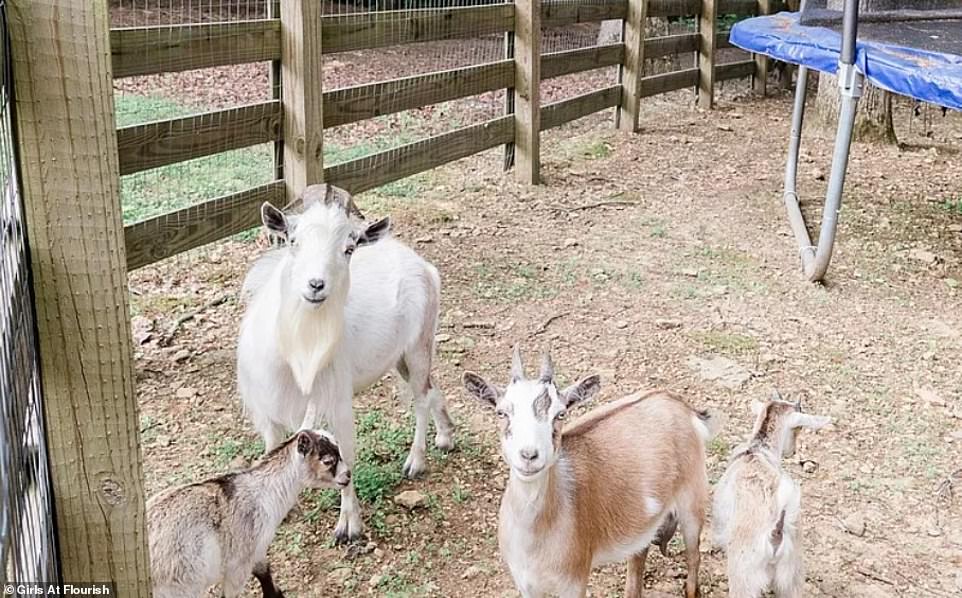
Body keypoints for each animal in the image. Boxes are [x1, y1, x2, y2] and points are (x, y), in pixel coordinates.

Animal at [146, 432, 348, 598]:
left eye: (340, 453)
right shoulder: (239, 563)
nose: (348, 476)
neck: (262, 492)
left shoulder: (257, 549)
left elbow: (264, 573)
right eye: (328, 461)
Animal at [236, 184, 454, 544]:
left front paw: (349, 525)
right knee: (431, 387)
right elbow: (271, 449)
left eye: (349, 248)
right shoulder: (266, 408)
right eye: (293, 240)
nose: (316, 285)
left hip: (418, 347)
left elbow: (347, 454)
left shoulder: (336, 399)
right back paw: (446, 434)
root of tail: (424, 266)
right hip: (399, 358)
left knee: (421, 398)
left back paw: (415, 461)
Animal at [462, 346, 716, 598]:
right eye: (501, 413)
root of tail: (678, 403)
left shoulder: (574, 579)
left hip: (692, 500)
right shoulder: (525, 584)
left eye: (560, 414)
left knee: (694, 556)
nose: (529, 455)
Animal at [708, 394, 828, 598]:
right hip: (792, 576)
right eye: (798, 428)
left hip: (744, 576)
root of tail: (775, 533)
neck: (757, 451)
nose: (792, 451)